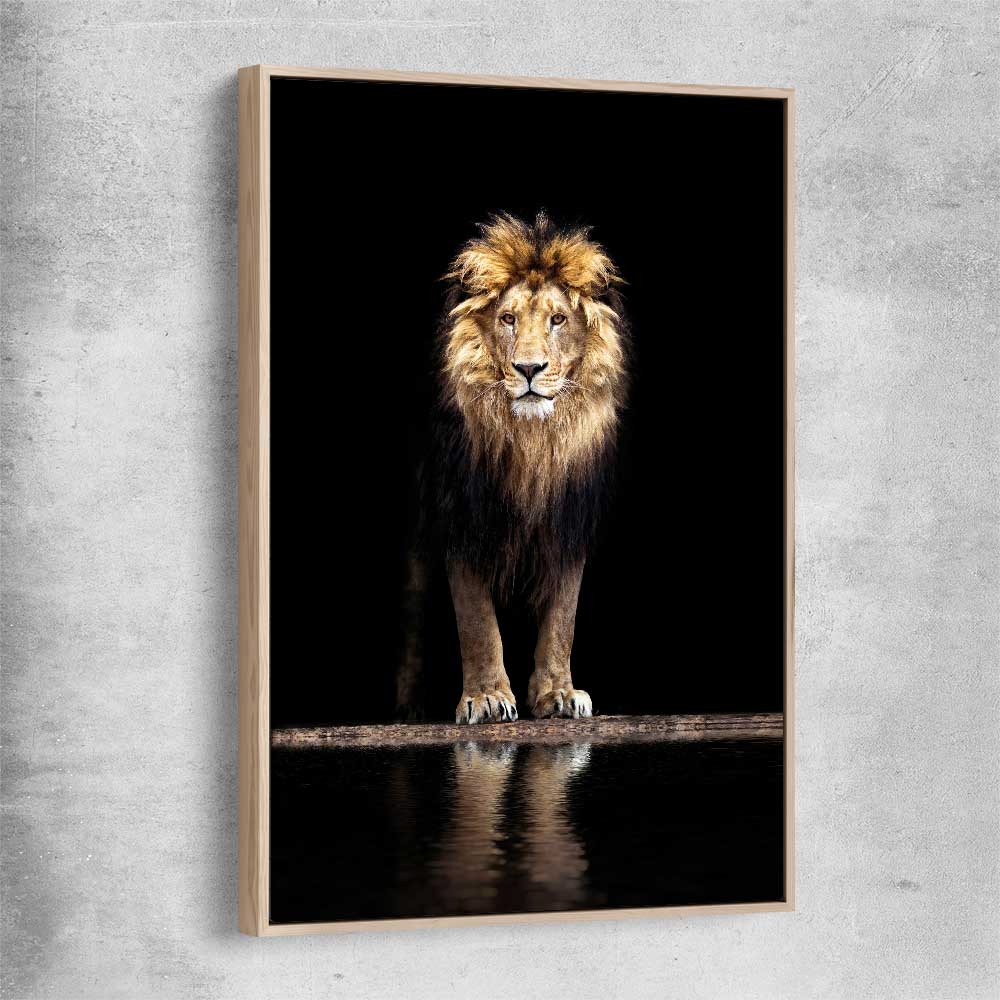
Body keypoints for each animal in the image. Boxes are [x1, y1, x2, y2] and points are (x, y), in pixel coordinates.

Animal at [397, 211, 629, 725]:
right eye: (508, 319)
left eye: (558, 320)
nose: (528, 368)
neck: (532, 443)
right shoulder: (464, 515)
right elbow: (477, 620)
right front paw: (486, 698)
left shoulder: (567, 523)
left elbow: (562, 618)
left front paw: (559, 694)